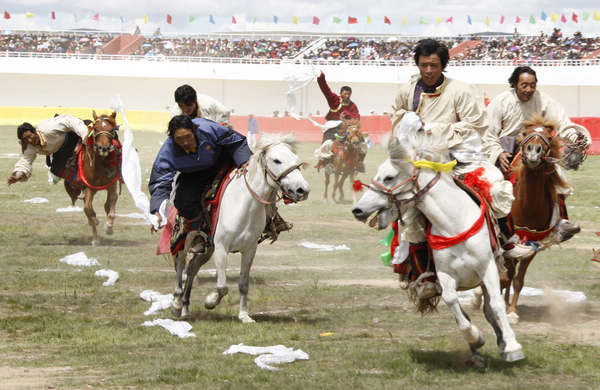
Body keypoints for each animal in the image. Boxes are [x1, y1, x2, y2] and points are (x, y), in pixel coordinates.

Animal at [78, 109, 123, 244]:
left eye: (111, 129)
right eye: (96, 128)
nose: (103, 148)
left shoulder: (112, 185)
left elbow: (112, 202)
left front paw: (109, 227)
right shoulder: (89, 187)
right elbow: (88, 208)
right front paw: (95, 223)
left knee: (108, 204)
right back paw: (95, 238)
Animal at [172, 134, 310, 322]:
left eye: (296, 160)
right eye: (277, 160)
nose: (303, 190)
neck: (244, 206)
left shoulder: (249, 249)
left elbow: (243, 284)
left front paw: (244, 316)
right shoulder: (222, 248)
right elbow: (222, 286)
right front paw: (210, 302)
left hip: (207, 248)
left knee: (192, 268)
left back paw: (186, 309)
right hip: (185, 242)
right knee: (180, 267)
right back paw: (176, 305)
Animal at [350, 114, 524, 364]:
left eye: (389, 177)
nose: (358, 209)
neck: (454, 223)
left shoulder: (487, 267)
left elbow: (497, 305)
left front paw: (512, 347)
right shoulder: (445, 276)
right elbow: (454, 305)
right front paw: (475, 338)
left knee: (490, 309)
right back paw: (476, 354)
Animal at [502, 115, 568, 322]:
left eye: (549, 136)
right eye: (525, 133)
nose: (533, 151)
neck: (526, 207)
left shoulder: (532, 244)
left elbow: (518, 279)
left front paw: (511, 311)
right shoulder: (509, 241)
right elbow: (507, 274)